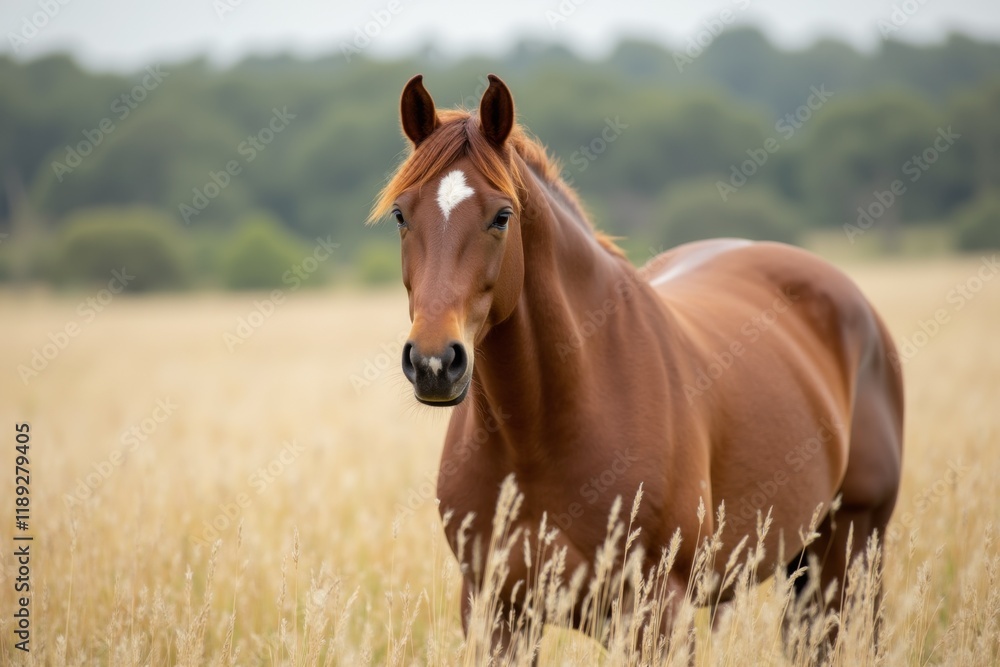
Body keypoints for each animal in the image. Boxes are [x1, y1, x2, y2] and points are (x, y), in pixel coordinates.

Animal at [369, 73, 904, 658]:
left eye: (502, 216)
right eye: (401, 215)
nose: (434, 362)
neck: (540, 431)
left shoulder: (657, 612)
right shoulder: (496, 613)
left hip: (854, 550)